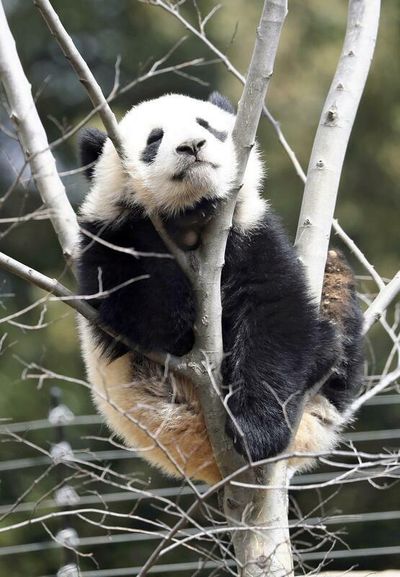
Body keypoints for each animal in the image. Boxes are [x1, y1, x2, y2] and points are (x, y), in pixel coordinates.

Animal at [76, 92, 364, 484]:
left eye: (207, 126)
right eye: (154, 139)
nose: (192, 145)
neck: (192, 223)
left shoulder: (250, 229)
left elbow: (273, 313)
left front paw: (257, 430)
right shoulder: (107, 239)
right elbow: (153, 321)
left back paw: (334, 302)